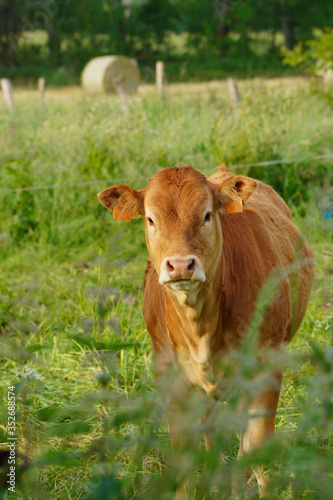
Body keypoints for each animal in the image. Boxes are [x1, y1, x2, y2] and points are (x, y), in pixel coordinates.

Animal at [97, 166, 312, 498]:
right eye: (150, 219)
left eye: (207, 215)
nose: (180, 265)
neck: (201, 327)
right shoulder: (169, 372)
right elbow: (185, 450)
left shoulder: (267, 362)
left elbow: (258, 446)